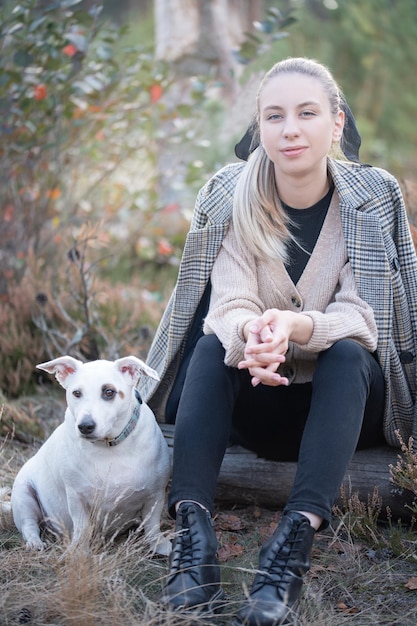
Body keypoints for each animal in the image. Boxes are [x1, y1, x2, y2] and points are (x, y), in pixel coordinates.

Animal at [11, 354, 171, 552]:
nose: (85, 426)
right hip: (23, 496)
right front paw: (78, 551)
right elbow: (82, 528)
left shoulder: (155, 495)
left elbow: (152, 524)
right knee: (29, 525)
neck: (109, 446)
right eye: (76, 393)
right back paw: (35, 542)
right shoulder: (77, 499)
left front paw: (159, 544)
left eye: (109, 392)